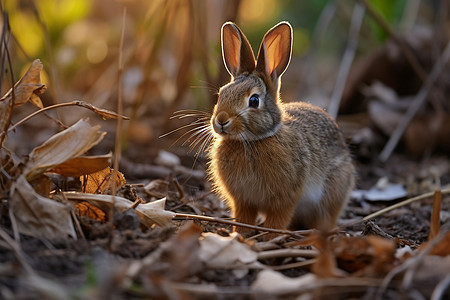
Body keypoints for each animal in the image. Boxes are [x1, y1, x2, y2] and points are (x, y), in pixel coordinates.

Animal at [206, 21, 354, 237]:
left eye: (254, 100)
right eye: (221, 94)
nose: (221, 120)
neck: (252, 141)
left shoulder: (285, 197)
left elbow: (278, 217)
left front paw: (271, 236)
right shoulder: (243, 200)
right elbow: (243, 217)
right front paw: (240, 234)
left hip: (333, 190)